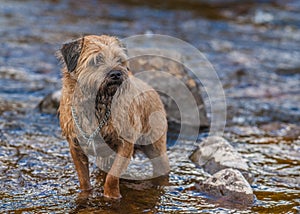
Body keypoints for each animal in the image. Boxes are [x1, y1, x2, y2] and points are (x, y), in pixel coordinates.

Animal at [58, 35, 170, 199]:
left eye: (119, 60)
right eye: (96, 60)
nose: (116, 73)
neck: (98, 105)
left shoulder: (125, 145)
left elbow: (112, 177)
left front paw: (112, 196)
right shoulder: (75, 146)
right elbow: (83, 179)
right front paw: (85, 195)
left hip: (156, 148)